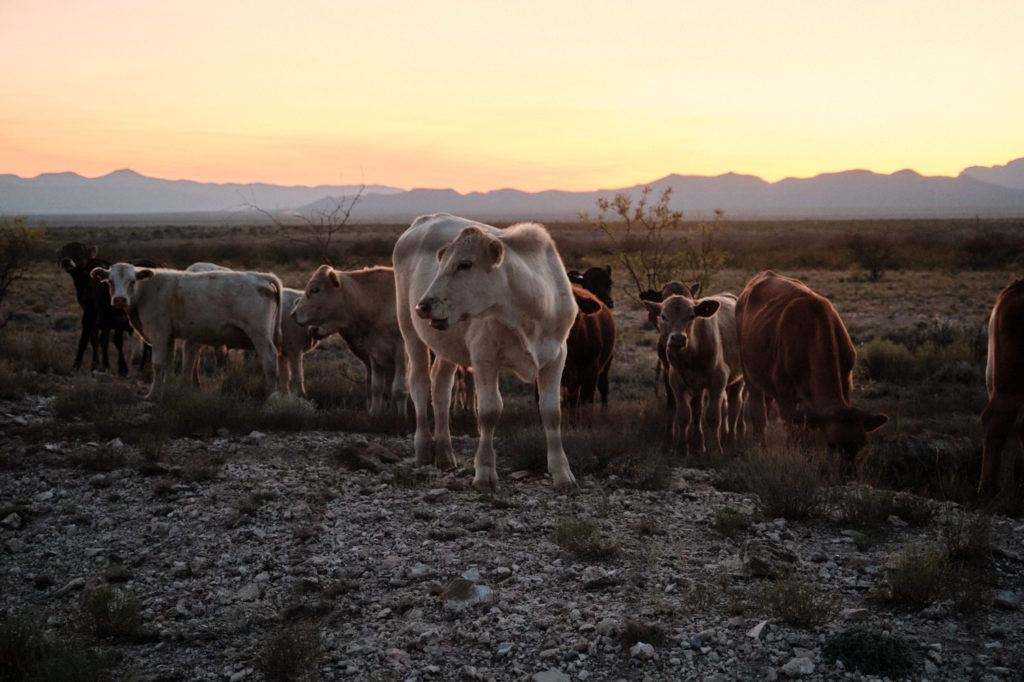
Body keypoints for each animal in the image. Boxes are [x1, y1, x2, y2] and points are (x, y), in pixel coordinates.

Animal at [92, 261, 282, 399]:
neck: (146, 290)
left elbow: (157, 364)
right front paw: (164, 391)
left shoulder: (158, 332)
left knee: (269, 359)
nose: (120, 299)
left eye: (132, 282)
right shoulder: (168, 336)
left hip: (259, 333)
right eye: (110, 282)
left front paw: (151, 395)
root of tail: (261, 276)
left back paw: (270, 396)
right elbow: (167, 365)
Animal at [393, 212, 585, 489]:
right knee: (420, 384)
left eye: (465, 264)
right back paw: (423, 450)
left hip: (447, 345)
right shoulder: (484, 357)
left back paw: (445, 453)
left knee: (441, 388)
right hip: (409, 331)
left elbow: (552, 413)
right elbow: (488, 411)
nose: (423, 305)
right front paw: (484, 471)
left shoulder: (556, 356)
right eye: (442, 264)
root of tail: (424, 219)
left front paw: (562, 472)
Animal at [643, 288, 741, 454]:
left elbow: (713, 416)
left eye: (691, 316)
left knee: (734, 408)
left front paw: (716, 449)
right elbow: (684, 416)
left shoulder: (718, 379)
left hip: (740, 378)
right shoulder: (676, 381)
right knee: (706, 409)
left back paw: (731, 441)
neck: (691, 355)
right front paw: (682, 450)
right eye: (663, 316)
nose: (677, 338)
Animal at [737, 268, 888, 454]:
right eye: (832, 444)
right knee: (758, 414)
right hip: (749, 375)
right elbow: (793, 433)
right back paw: (761, 447)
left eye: (861, 445)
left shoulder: (846, 381)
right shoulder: (785, 394)